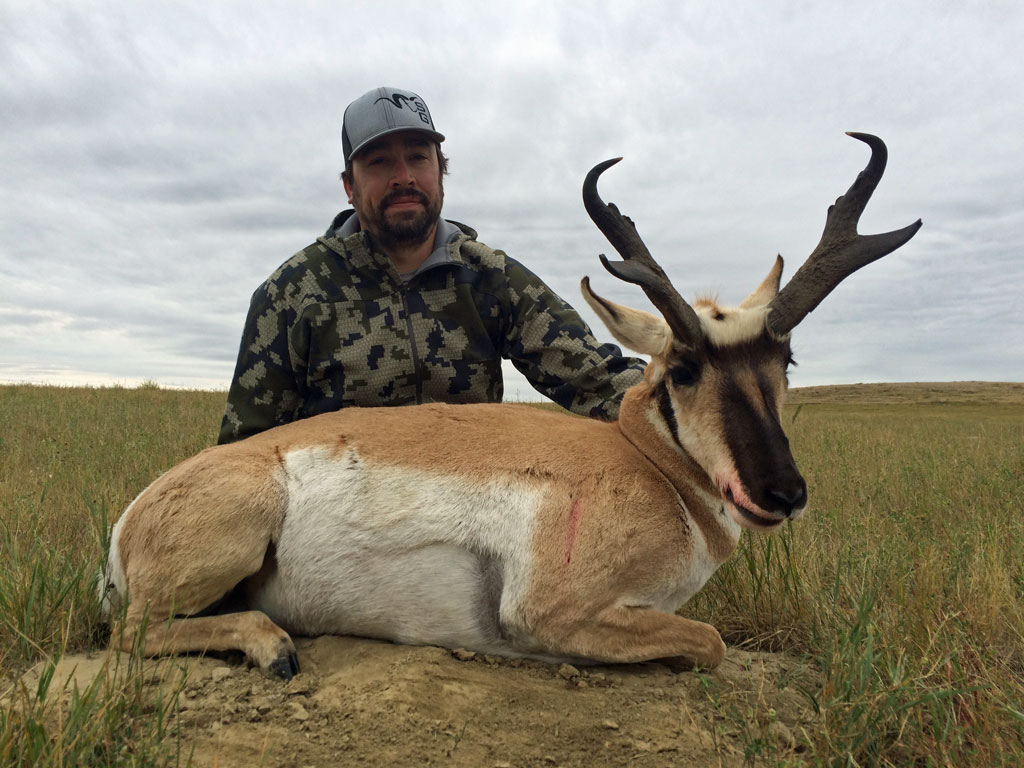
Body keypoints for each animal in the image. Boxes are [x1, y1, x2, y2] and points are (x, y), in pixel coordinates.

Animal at [101, 131, 921, 679]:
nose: (782, 492)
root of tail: (133, 514)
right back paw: (274, 647)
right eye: (684, 369)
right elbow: (711, 642)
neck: (646, 463)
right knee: (132, 633)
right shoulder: (555, 612)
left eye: (785, 358)